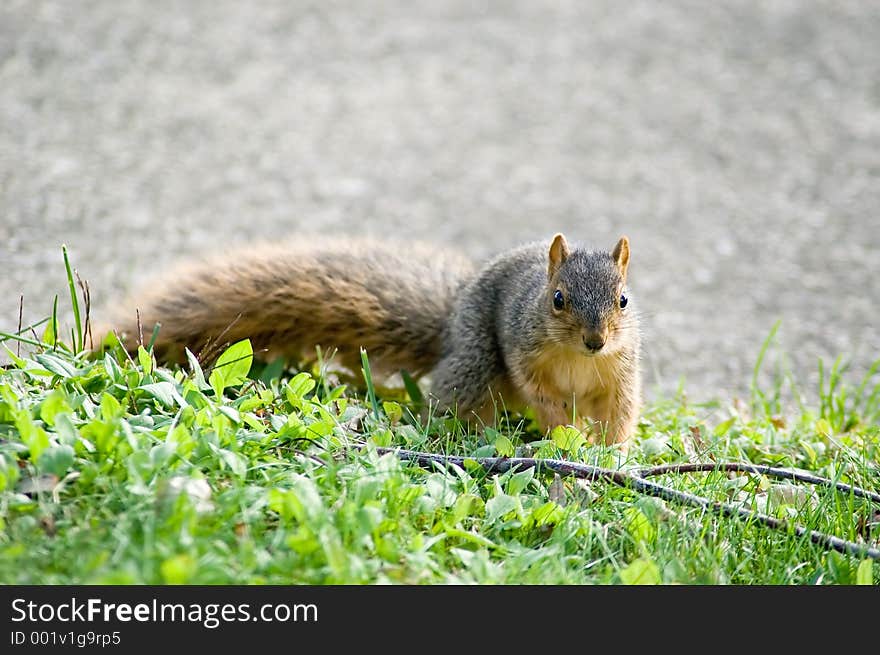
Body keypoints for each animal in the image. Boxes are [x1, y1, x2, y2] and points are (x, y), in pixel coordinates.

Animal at [103, 234, 644, 446]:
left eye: (623, 299)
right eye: (557, 299)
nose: (595, 340)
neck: (578, 359)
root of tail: (453, 321)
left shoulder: (619, 374)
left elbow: (620, 412)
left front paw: (612, 451)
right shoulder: (522, 353)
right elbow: (544, 399)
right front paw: (566, 436)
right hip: (476, 361)